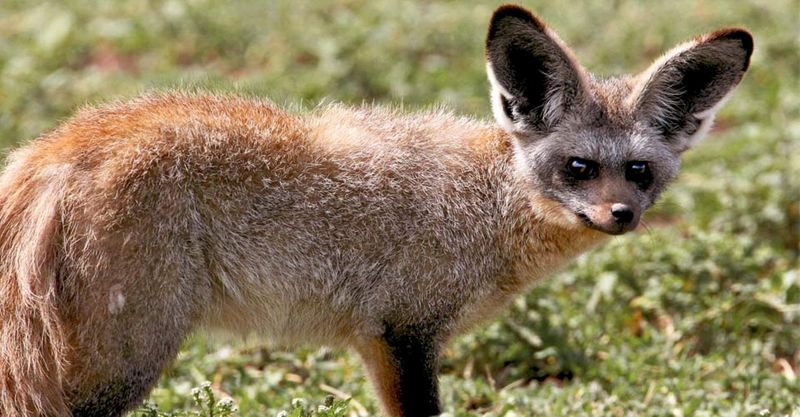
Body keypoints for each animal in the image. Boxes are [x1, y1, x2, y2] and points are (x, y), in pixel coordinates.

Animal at [0, 4, 752, 417]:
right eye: (578, 168)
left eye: (639, 172)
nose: (621, 214)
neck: (485, 205)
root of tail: (55, 146)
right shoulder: (403, 332)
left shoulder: (382, 341)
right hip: (126, 362)